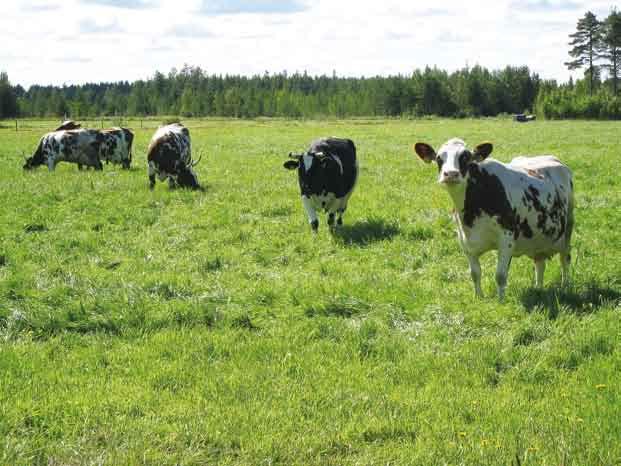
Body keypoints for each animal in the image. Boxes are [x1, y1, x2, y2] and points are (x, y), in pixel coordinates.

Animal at [414, 137, 572, 300]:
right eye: (439, 158)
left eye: (466, 157)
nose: (451, 174)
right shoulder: (465, 242)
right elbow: (475, 274)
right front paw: (478, 297)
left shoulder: (506, 239)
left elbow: (500, 275)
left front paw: (501, 301)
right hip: (539, 239)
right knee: (540, 262)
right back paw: (538, 288)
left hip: (568, 228)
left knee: (565, 258)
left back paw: (565, 286)